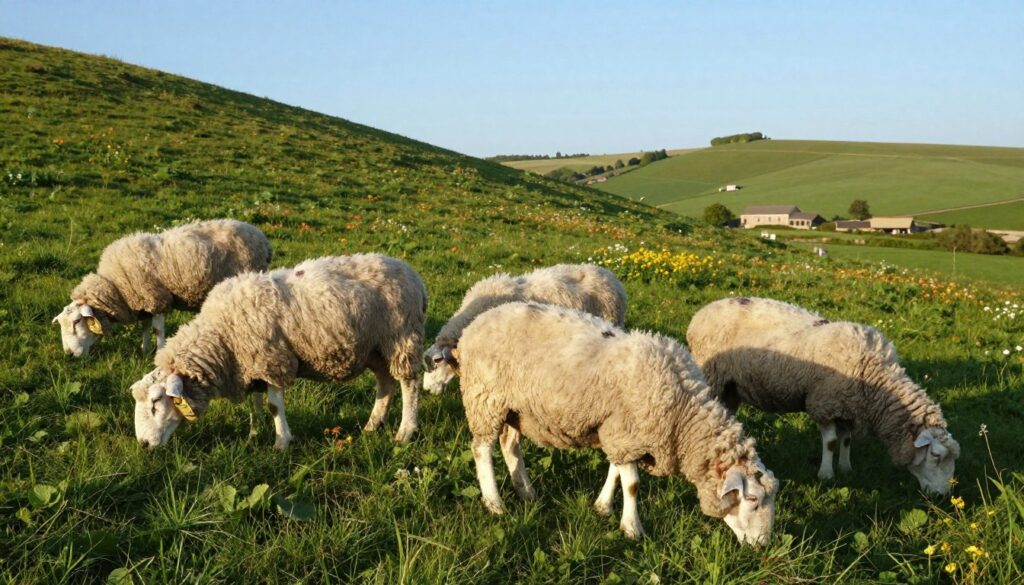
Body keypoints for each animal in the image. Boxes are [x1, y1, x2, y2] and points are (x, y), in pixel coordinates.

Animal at [53, 219, 271, 357]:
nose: (69, 355)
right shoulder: (143, 303)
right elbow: (145, 326)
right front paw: (144, 348)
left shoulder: (157, 298)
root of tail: (261, 237)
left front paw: (157, 351)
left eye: (76, 322)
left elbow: (157, 329)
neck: (116, 287)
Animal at [130, 254, 428, 449]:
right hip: (374, 349)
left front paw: (281, 442)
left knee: (409, 385)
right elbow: (256, 402)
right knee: (385, 383)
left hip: (401, 338)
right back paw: (373, 424)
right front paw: (253, 432)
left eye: (156, 402)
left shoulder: (272, 360)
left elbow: (274, 406)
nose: (143, 444)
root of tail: (413, 275)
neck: (222, 337)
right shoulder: (250, 365)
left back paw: (405, 432)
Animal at [453, 302, 777, 545]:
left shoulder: (620, 432)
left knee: (509, 444)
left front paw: (603, 506)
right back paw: (495, 503)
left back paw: (526, 491)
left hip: (513, 407)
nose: (762, 545)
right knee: (481, 449)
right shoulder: (625, 431)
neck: (682, 414)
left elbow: (615, 472)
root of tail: (474, 325)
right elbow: (632, 484)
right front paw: (632, 529)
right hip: (485, 397)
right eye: (752, 499)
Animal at [686, 296, 960, 495]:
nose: (943, 495)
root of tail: (703, 311)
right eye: (935, 456)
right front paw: (826, 474)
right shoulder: (825, 403)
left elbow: (846, 441)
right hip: (712, 376)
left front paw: (846, 468)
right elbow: (829, 442)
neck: (876, 380)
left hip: (730, 386)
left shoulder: (848, 407)